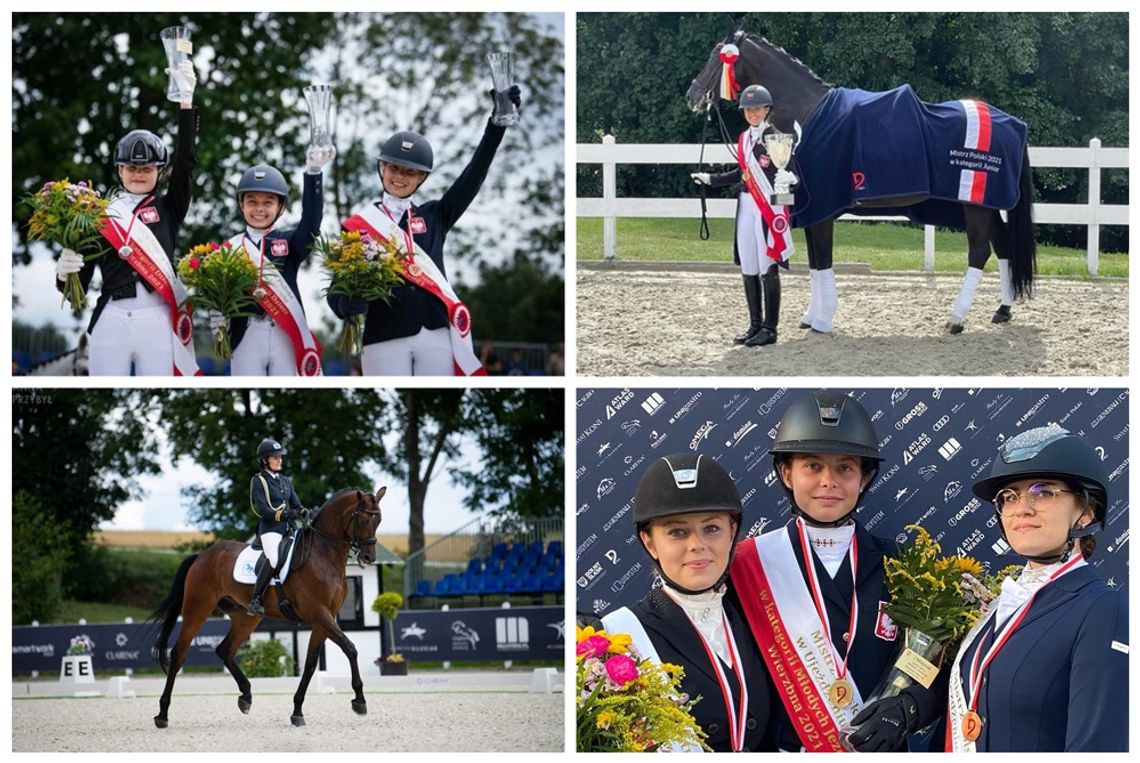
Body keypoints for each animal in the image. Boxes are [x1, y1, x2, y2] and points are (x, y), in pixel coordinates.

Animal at [150, 485, 387, 729]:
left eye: (378, 519)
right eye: (361, 518)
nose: (368, 557)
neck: (324, 555)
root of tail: (202, 556)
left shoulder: (325, 618)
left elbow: (311, 663)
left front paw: (297, 711)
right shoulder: (319, 614)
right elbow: (350, 648)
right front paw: (359, 700)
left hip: (246, 618)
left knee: (224, 650)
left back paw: (245, 697)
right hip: (197, 609)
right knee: (178, 653)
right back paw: (162, 714)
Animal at [679, 29, 1039, 333]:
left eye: (715, 56)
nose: (692, 95)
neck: (808, 114)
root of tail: (1013, 123)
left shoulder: (821, 209)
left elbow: (823, 259)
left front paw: (823, 320)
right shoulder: (810, 209)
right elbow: (814, 262)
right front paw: (811, 316)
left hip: (976, 207)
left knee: (979, 252)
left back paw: (956, 318)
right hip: (985, 206)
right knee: (1003, 247)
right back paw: (1002, 310)